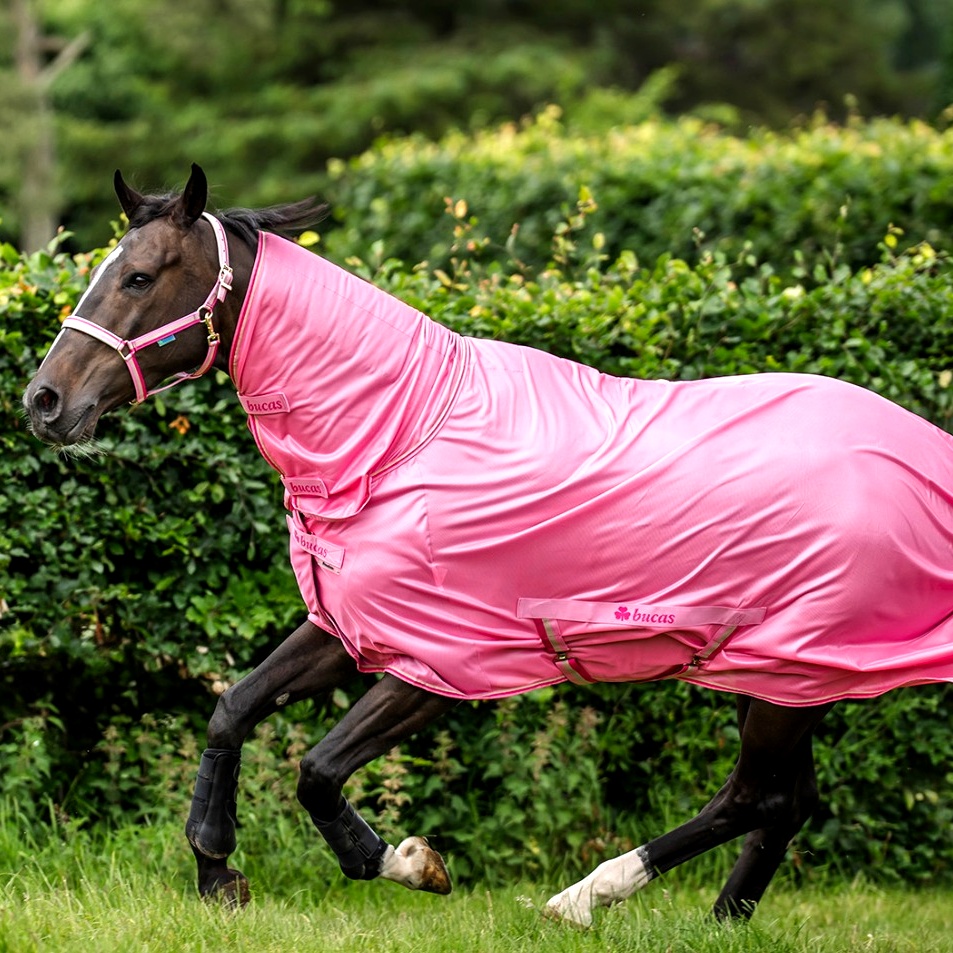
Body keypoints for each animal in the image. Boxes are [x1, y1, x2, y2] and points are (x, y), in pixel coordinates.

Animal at [22, 164, 953, 926]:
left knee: (756, 795)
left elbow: (317, 768)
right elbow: (233, 706)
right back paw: (715, 919)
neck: (402, 433)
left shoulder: (441, 664)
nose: (43, 400)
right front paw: (218, 871)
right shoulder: (349, 627)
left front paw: (403, 861)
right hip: (773, 672)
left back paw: (588, 894)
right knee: (781, 798)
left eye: (139, 276)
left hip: (789, 673)